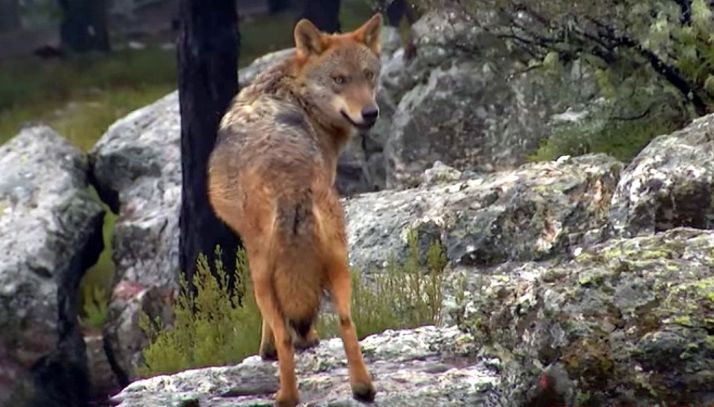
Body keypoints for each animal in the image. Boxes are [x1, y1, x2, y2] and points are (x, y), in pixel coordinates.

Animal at [207, 13, 383, 407]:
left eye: (368, 75)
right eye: (339, 79)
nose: (370, 113)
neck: (294, 94)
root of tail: (291, 184)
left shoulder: (250, 254)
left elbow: (273, 324)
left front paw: (268, 350)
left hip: (263, 273)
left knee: (287, 331)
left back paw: (286, 395)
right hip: (339, 263)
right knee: (347, 322)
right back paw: (363, 388)